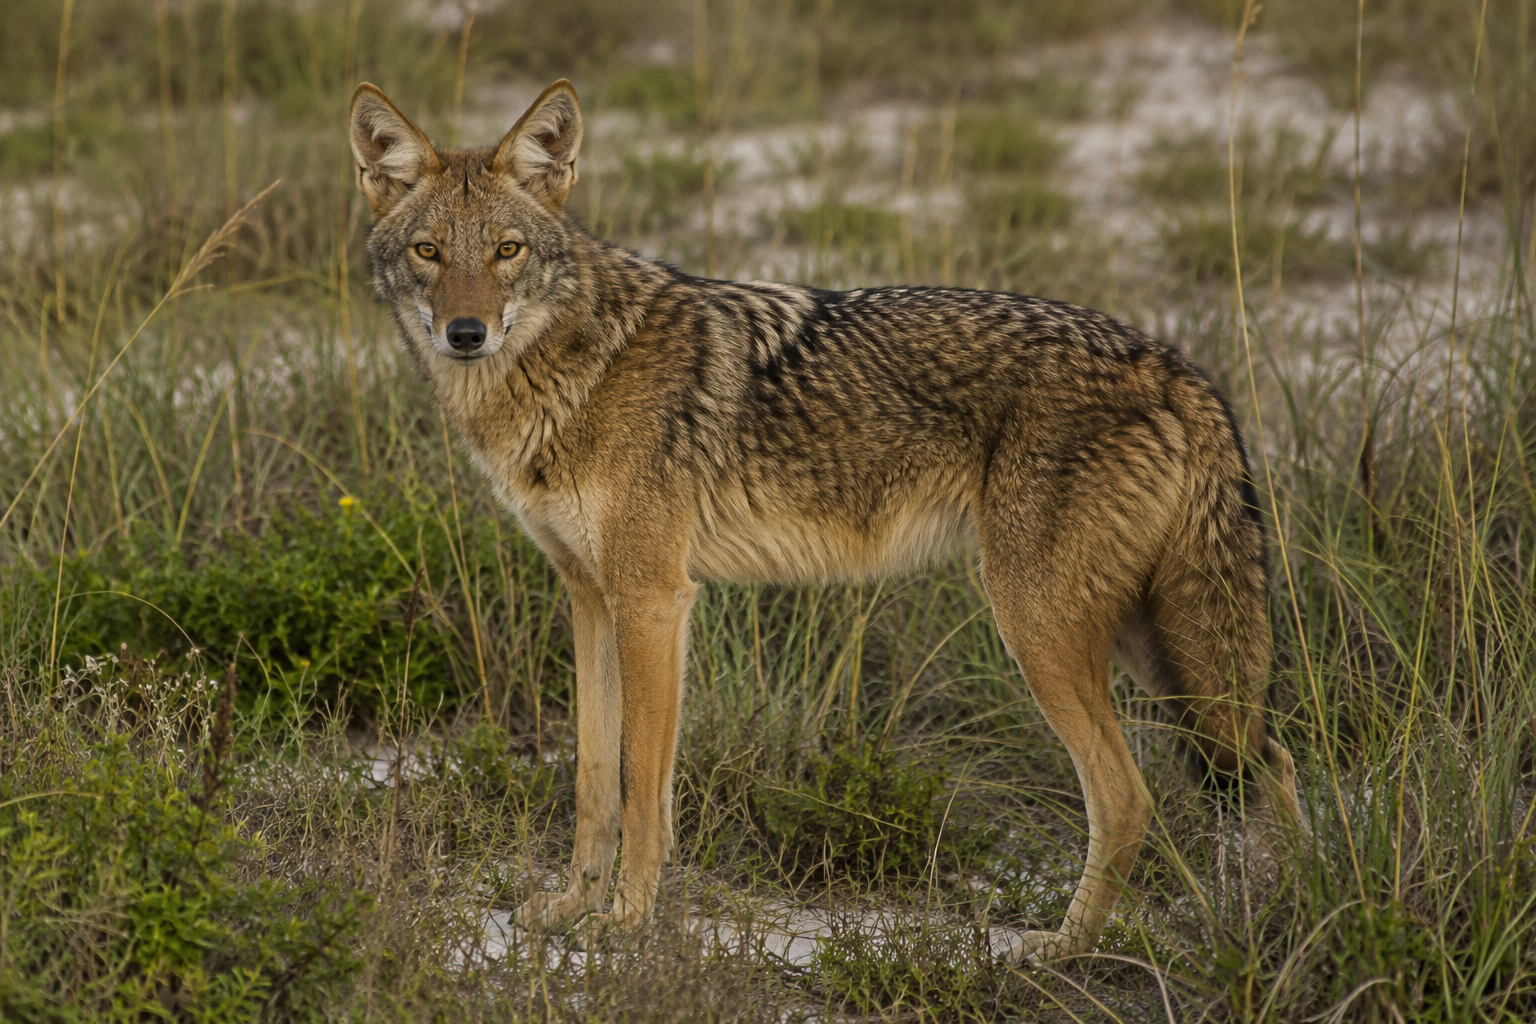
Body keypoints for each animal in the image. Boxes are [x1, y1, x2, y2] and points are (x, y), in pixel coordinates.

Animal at [347, 78, 1303, 964]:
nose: (465, 333)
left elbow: (643, 789)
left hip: (1046, 630)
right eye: (431, 252)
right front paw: (571, 908)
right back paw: (1283, 929)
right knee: (1275, 765)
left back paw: (1065, 951)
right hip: (1155, 649)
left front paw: (625, 925)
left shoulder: (655, 599)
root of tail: (1180, 369)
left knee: (1132, 796)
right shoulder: (591, 599)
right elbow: (591, 777)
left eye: (506, 251)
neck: (570, 371)